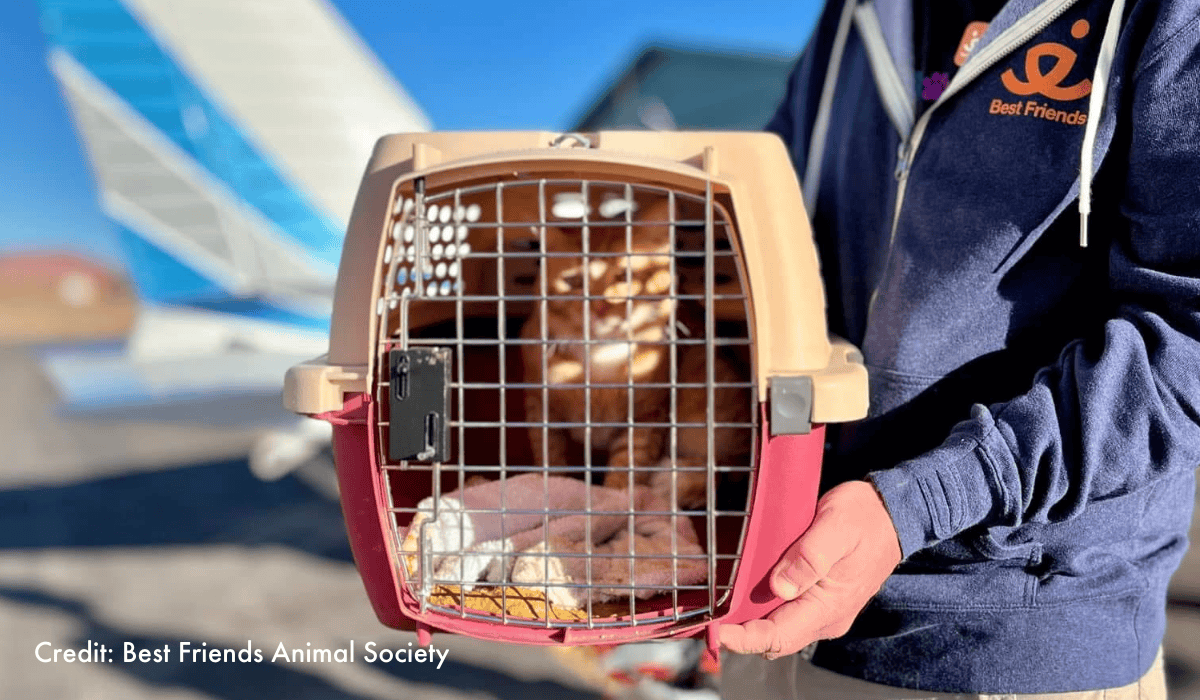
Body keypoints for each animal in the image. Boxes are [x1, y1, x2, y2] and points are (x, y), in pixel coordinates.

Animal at [518, 200, 744, 506]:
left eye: (624, 276)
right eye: (574, 280)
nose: (600, 307)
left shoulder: (646, 416)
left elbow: (627, 468)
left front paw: (616, 504)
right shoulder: (540, 408)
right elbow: (550, 459)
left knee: (717, 472)